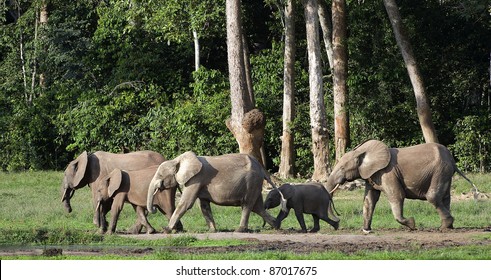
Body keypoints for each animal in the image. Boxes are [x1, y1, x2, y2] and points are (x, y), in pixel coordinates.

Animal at [324, 139, 478, 233]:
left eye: (342, 168)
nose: (338, 222)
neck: (361, 151)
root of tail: (452, 161)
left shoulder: (388, 173)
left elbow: (396, 195)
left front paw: (412, 225)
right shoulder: (372, 175)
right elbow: (369, 199)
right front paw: (366, 230)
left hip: (441, 170)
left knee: (433, 197)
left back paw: (443, 227)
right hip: (445, 172)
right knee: (445, 198)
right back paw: (449, 227)